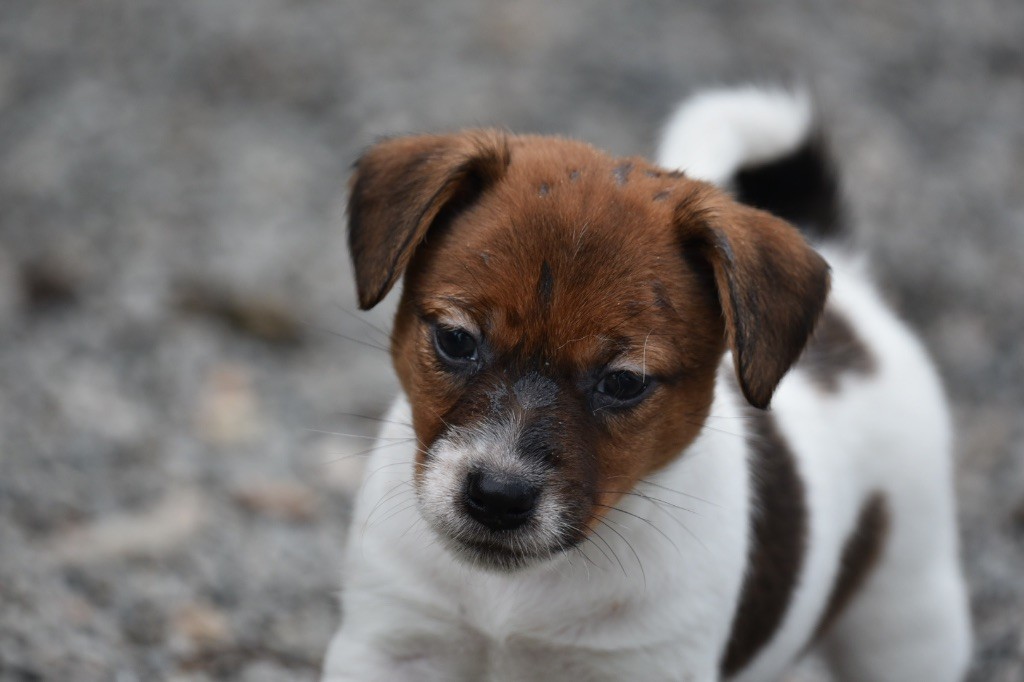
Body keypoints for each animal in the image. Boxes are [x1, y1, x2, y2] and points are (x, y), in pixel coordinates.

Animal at [323, 87, 970, 679]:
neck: (515, 593)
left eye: (623, 382)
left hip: (908, 617)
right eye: (457, 341)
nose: (499, 497)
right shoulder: (391, 645)